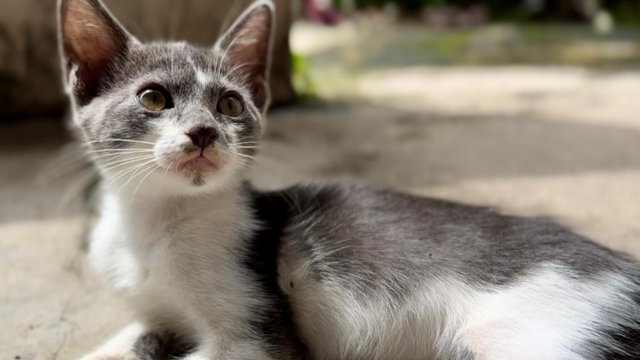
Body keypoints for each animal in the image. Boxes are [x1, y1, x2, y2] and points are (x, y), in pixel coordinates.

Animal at [57, 0, 636, 360]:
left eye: (229, 105)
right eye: (153, 98)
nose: (204, 132)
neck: (156, 223)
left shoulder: (259, 334)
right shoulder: (154, 308)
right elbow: (130, 335)